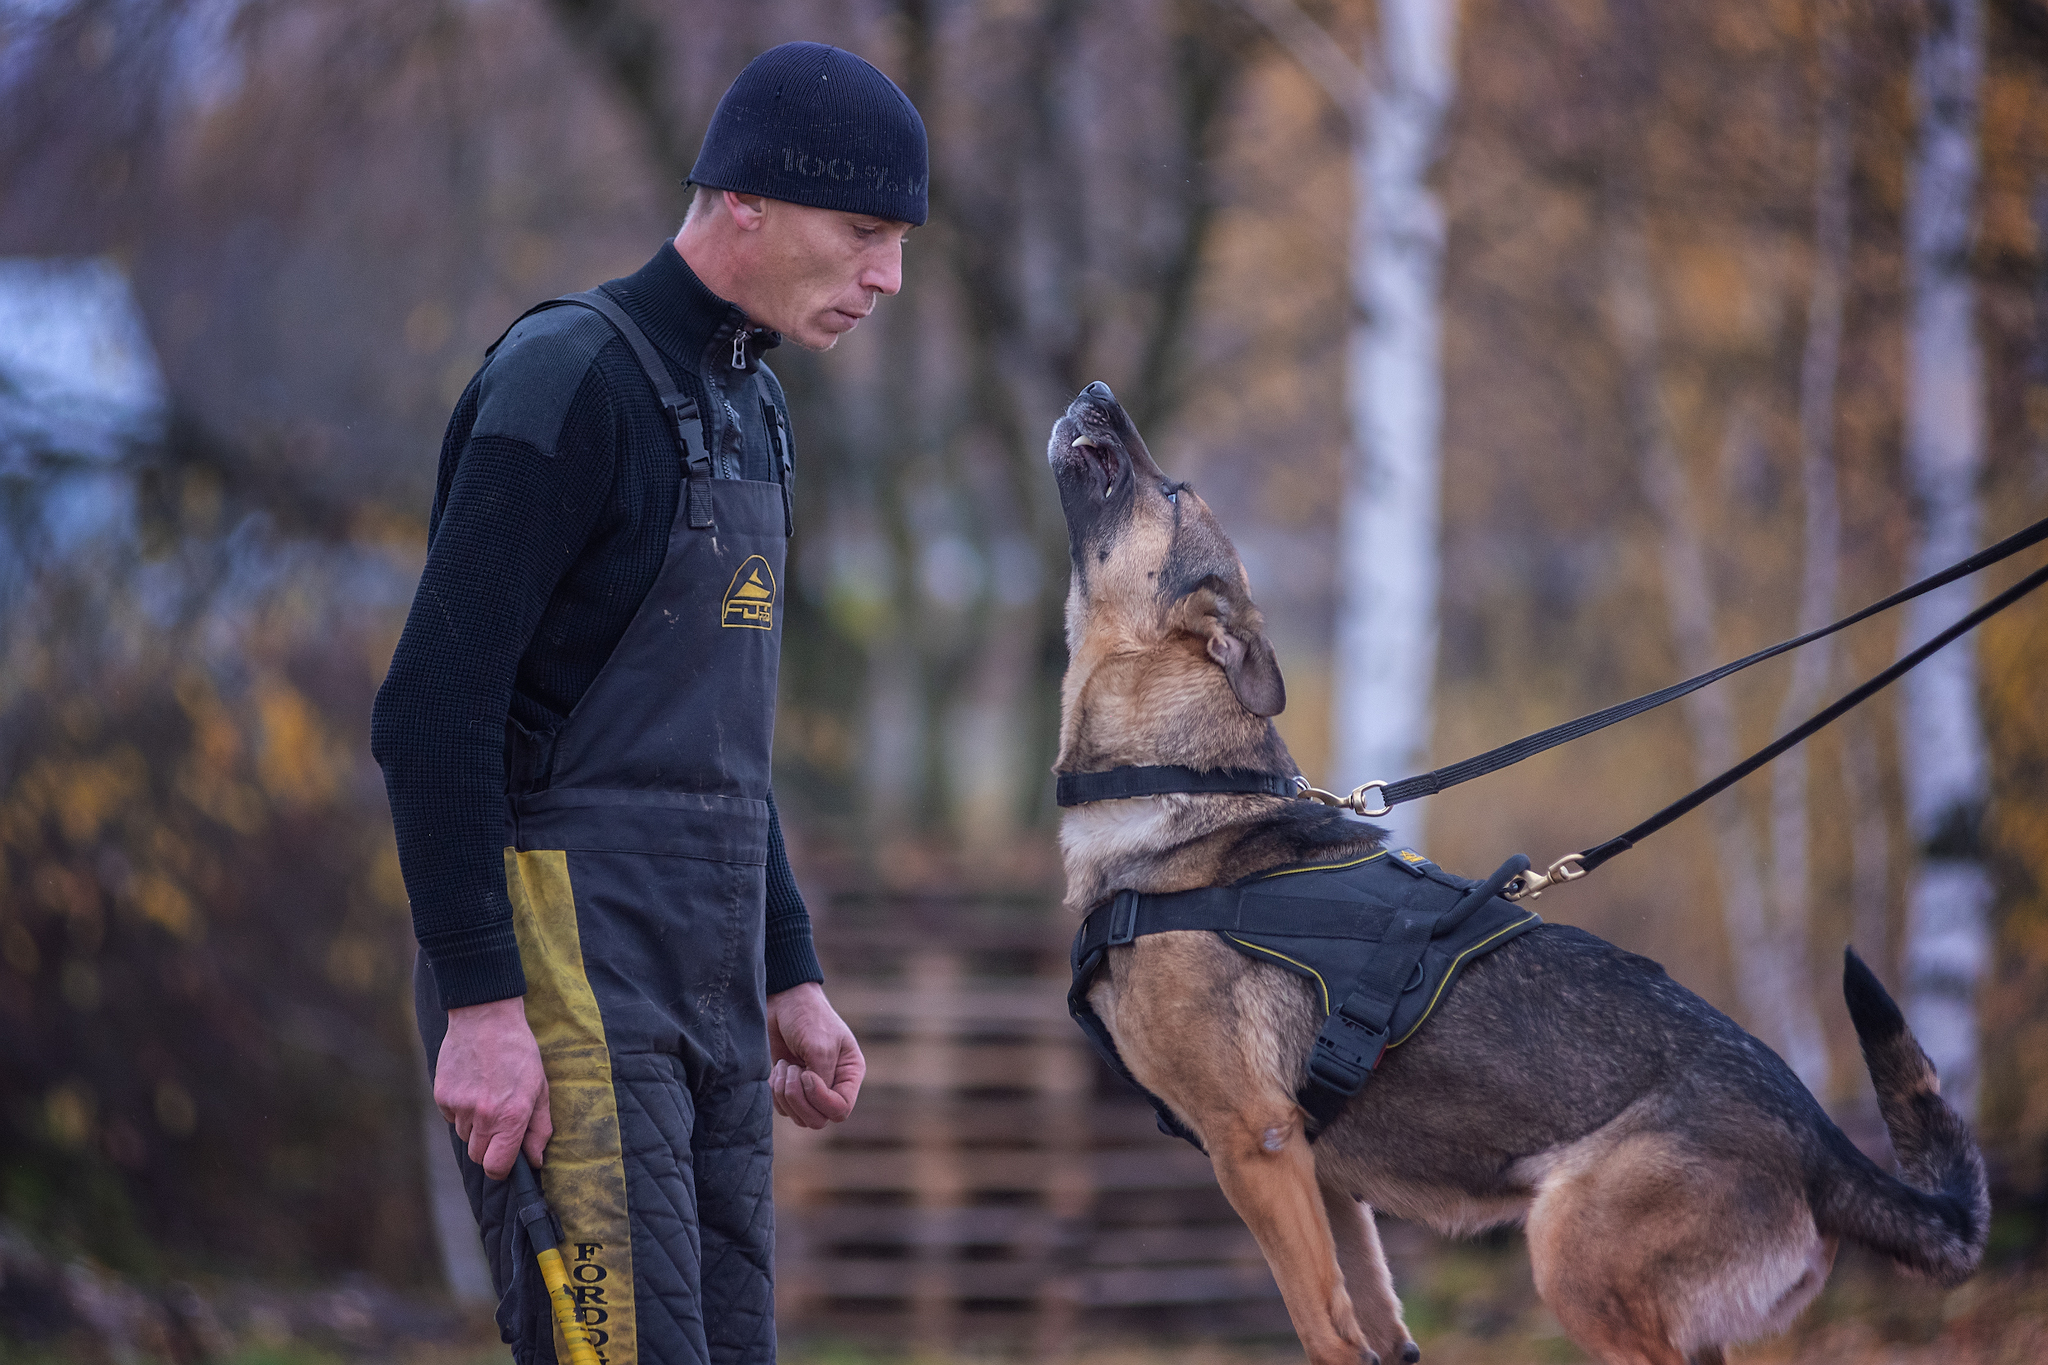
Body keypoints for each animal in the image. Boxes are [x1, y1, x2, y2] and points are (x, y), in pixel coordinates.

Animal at [1048, 382, 1974, 1365]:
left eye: (1173, 490)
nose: (1097, 391)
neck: (1182, 782)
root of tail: (1821, 1142)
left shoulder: (1254, 1145)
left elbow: (1324, 1328)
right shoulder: (1321, 1174)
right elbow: (1377, 1325)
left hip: (1574, 1261)